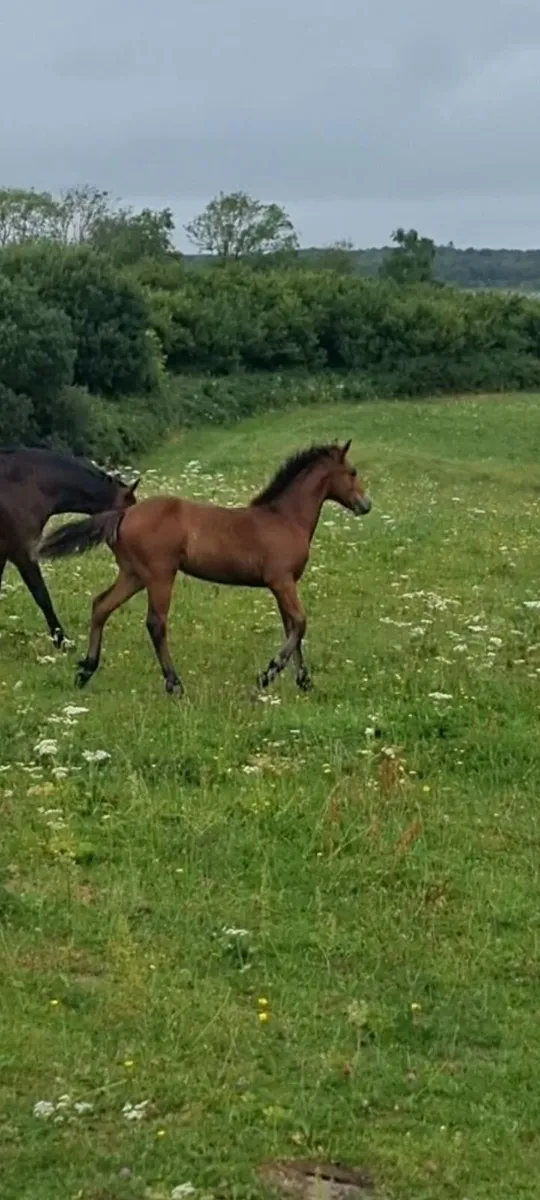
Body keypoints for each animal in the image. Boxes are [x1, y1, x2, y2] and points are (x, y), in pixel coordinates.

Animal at [39, 440, 371, 694]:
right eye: (352, 472)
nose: (366, 505)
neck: (284, 518)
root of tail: (123, 515)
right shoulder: (281, 581)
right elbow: (300, 623)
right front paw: (268, 674)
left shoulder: (283, 585)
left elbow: (292, 627)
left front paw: (304, 682)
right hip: (160, 575)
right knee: (156, 623)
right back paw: (174, 684)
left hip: (133, 575)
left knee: (101, 606)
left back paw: (86, 670)